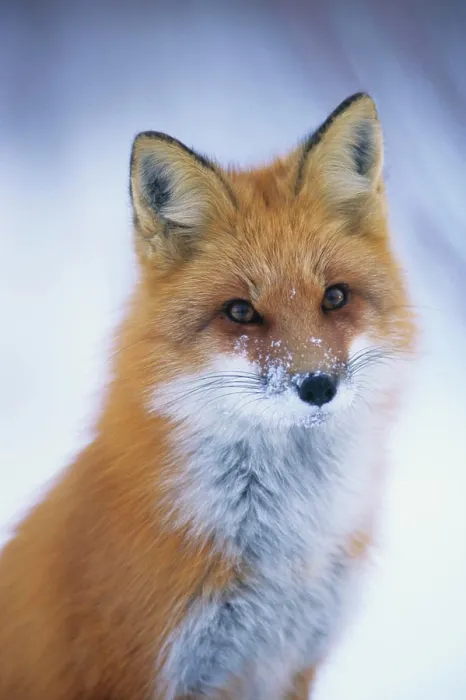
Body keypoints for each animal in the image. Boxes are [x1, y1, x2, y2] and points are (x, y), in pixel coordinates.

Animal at [0, 93, 415, 699]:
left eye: (335, 298)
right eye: (241, 311)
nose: (318, 385)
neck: (283, 553)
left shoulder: (292, 663)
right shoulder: (149, 669)